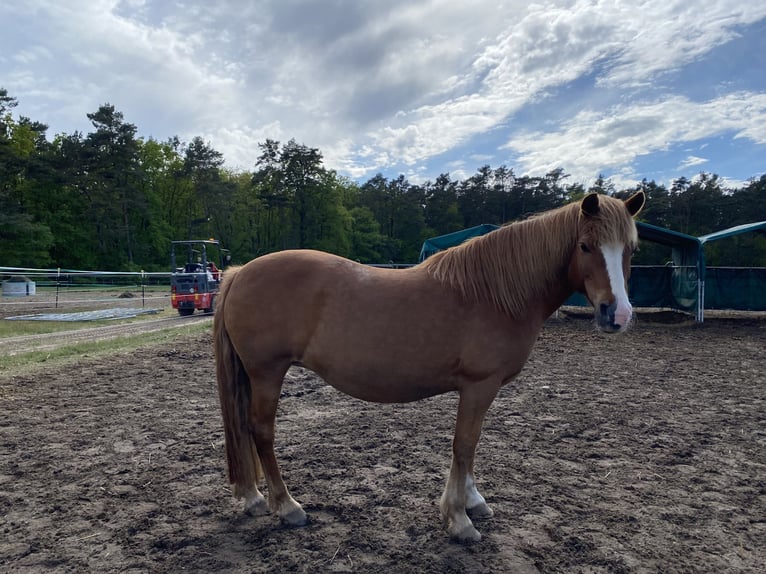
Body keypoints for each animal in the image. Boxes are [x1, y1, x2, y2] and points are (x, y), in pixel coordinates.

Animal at [214, 191, 645, 543]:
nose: (618, 315)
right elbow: (465, 444)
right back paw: (287, 507)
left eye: (630, 250)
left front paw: (473, 501)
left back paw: (253, 498)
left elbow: (471, 445)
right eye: (586, 246)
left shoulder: (480, 390)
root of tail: (239, 273)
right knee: (261, 431)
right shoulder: (479, 385)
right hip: (267, 373)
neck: (494, 294)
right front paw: (458, 518)